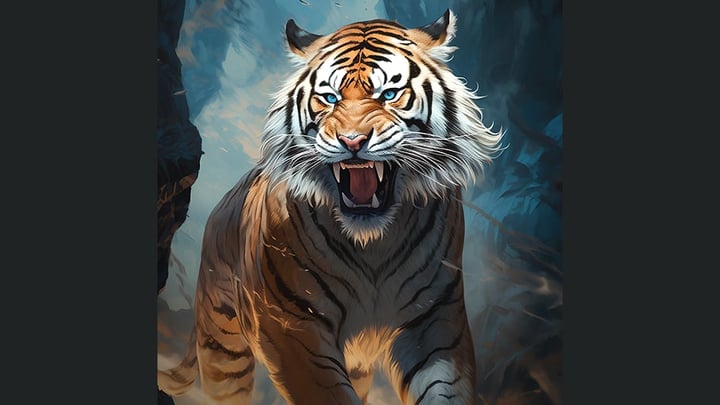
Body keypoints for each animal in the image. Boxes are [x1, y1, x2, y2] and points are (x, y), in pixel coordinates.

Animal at [158, 9, 504, 405]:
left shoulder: (435, 323)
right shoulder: (291, 326)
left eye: (389, 94)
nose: (352, 141)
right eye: (329, 97)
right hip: (223, 351)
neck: (373, 242)